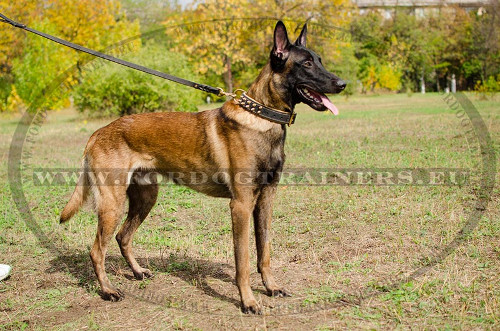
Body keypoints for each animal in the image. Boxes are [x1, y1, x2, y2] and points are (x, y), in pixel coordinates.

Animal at [60, 20, 346, 314]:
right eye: (307, 63)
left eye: (320, 60)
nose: (342, 84)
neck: (262, 117)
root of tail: (97, 133)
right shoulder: (241, 205)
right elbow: (243, 261)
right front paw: (248, 301)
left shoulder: (265, 200)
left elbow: (264, 252)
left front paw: (271, 287)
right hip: (112, 204)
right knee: (97, 250)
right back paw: (108, 290)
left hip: (145, 198)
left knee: (122, 237)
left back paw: (138, 272)